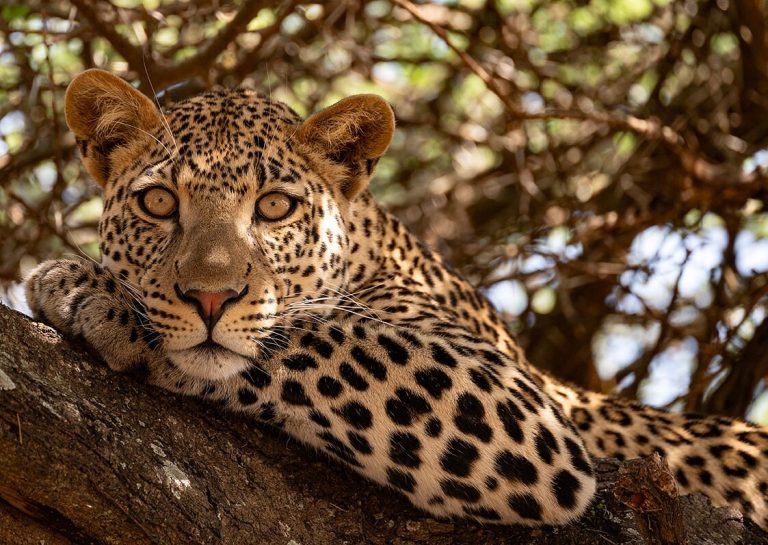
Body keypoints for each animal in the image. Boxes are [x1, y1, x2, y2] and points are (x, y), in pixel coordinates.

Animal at [24, 69, 768, 529]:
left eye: (274, 207)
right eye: (158, 202)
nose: (211, 296)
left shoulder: (520, 407)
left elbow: (312, 335)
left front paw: (88, 291)